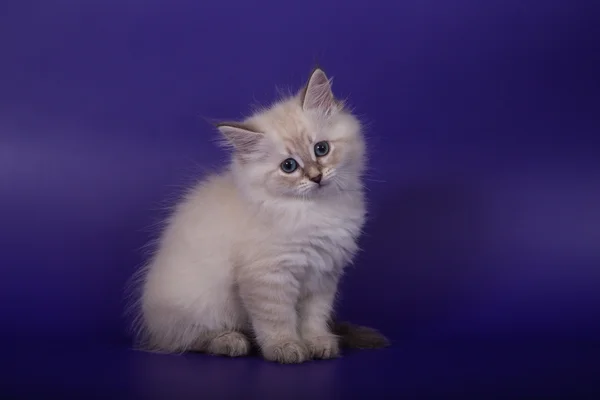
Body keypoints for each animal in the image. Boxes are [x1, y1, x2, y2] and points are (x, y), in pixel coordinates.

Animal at [134, 68, 390, 362]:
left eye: (321, 149)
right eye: (289, 166)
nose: (316, 177)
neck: (314, 210)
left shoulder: (323, 276)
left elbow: (314, 318)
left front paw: (318, 343)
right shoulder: (268, 276)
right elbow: (276, 320)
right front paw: (286, 348)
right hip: (197, 304)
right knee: (189, 339)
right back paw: (231, 341)